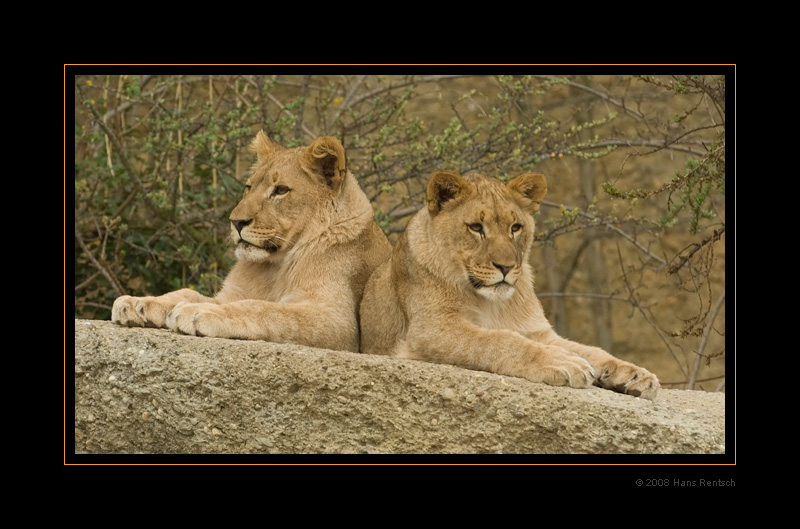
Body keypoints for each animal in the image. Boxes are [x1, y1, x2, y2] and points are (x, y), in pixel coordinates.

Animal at [111, 131, 392, 354]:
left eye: (280, 190)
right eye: (249, 187)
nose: (236, 221)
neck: (276, 266)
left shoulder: (339, 323)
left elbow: (265, 309)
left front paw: (199, 312)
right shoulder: (232, 293)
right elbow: (187, 293)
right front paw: (138, 303)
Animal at [360, 171, 660, 398]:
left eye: (515, 227)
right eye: (476, 227)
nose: (505, 267)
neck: (491, 301)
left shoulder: (538, 331)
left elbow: (590, 350)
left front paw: (635, 374)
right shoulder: (430, 330)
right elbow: (500, 340)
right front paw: (561, 361)